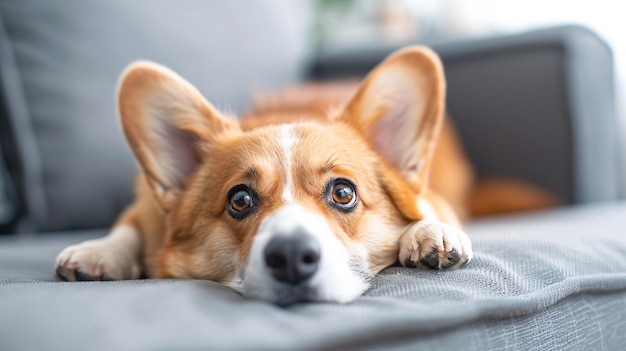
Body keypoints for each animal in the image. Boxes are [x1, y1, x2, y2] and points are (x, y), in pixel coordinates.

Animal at [54, 46, 472, 306]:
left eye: (343, 193)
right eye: (239, 199)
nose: (291, 256)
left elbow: (427, 208)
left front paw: (430, 232)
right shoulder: (144, 206)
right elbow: (129, 226)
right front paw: (98, 252)